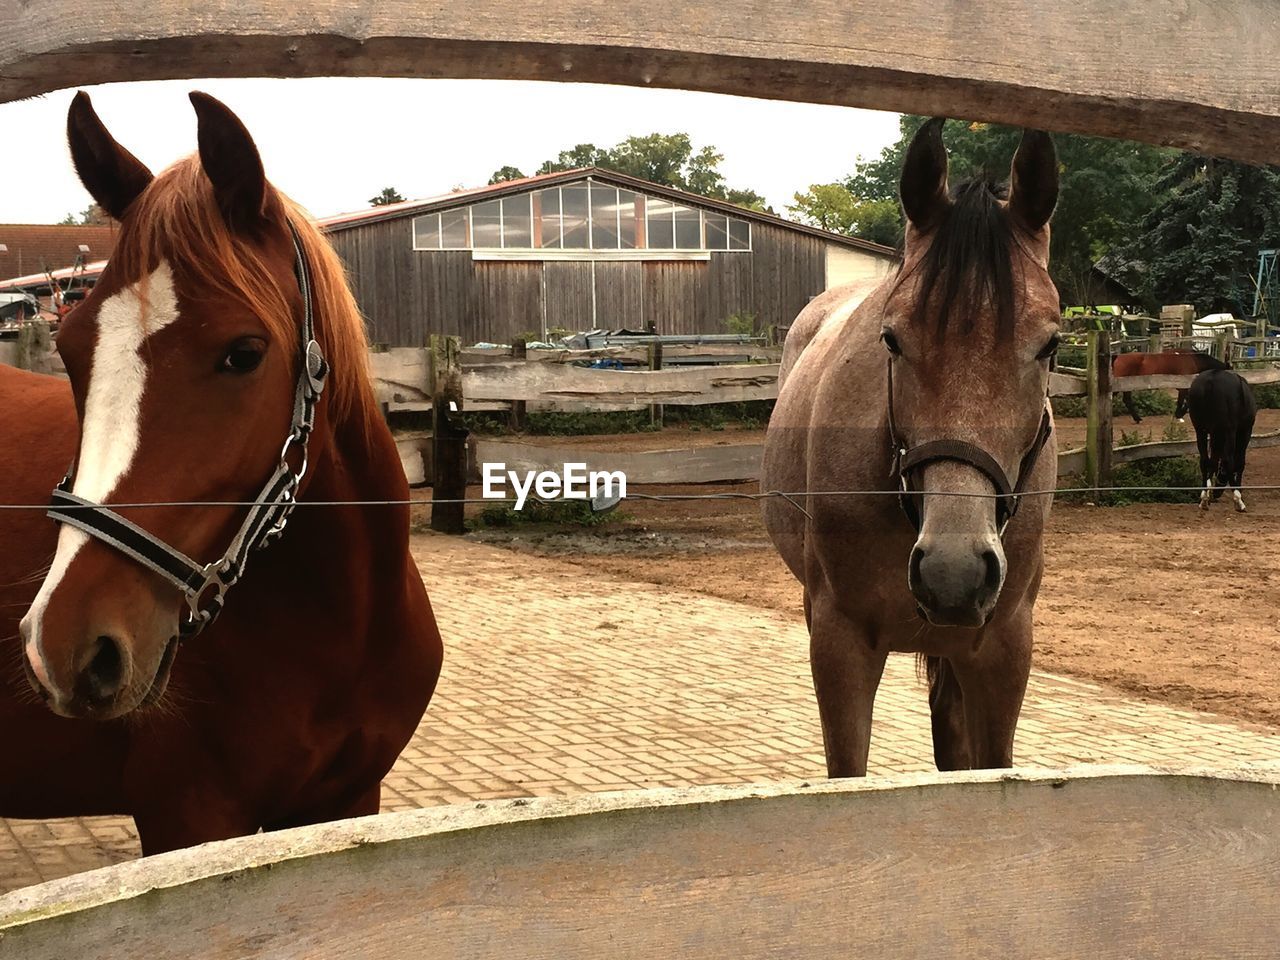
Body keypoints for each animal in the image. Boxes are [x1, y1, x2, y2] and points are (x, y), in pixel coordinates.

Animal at [0, 94, 442, 855]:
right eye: (70, 349)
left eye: (243, 353)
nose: (63, 647)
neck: (341, 626)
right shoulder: (190, 818)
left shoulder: (347, 802)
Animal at [1187, 366, 1259, 512]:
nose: (1217, 493)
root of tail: (1211, 380)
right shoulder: (1244, 431)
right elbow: (1239, 462)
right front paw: (1238, 495)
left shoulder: (1215, 434)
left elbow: (1213, 461)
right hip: (1230, 430)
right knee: (1228, 460)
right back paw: (1238, 500)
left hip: (1200, 430)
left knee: (1204, 461)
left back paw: (1204, 499)